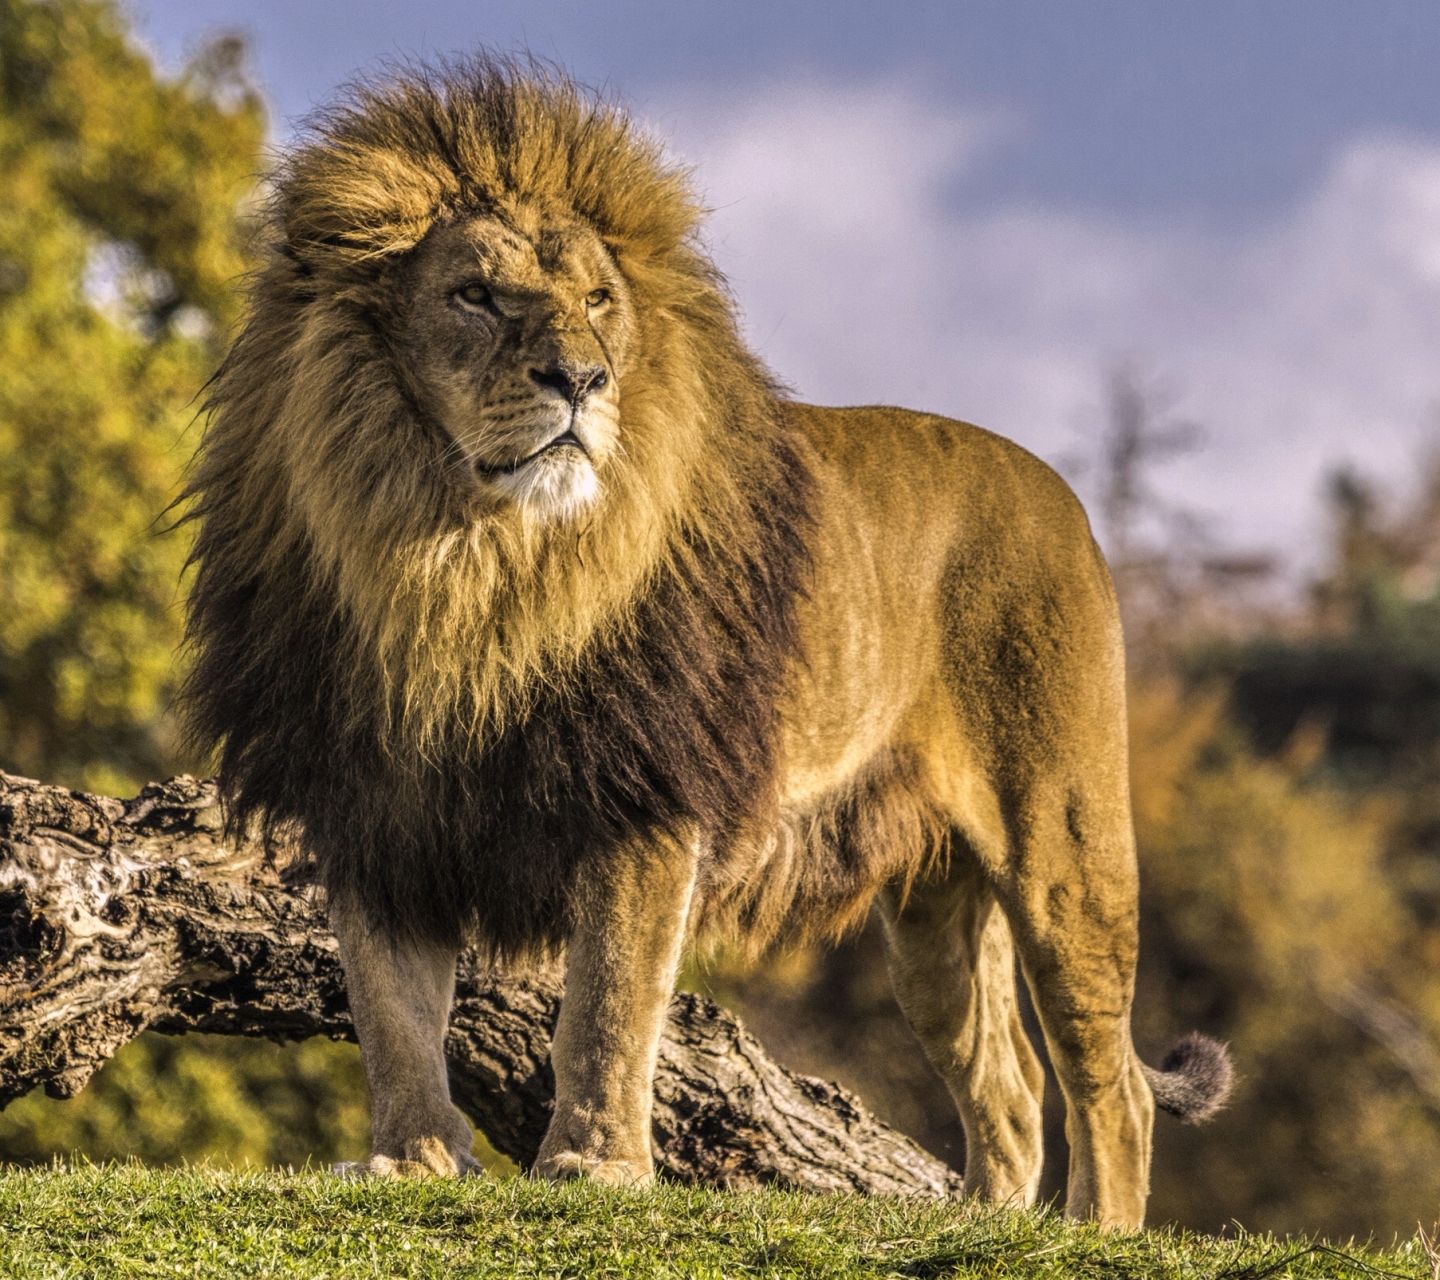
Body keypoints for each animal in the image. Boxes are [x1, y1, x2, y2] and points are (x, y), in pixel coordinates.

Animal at [181, 56, 1231, 1228]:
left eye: (599, 302)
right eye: (475, 296)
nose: (582, 379)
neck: (462, 568)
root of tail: (1067, 502)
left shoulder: (642, 792)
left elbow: (609, 998)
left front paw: (594, 1165)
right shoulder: (374, 803)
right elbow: (392, 1007)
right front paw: (409, 1158)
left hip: (1064, 850)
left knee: (1112, 1086)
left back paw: (1100, 1233)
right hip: (934, 916)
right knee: (1008, 1090)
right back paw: (993, 1221)